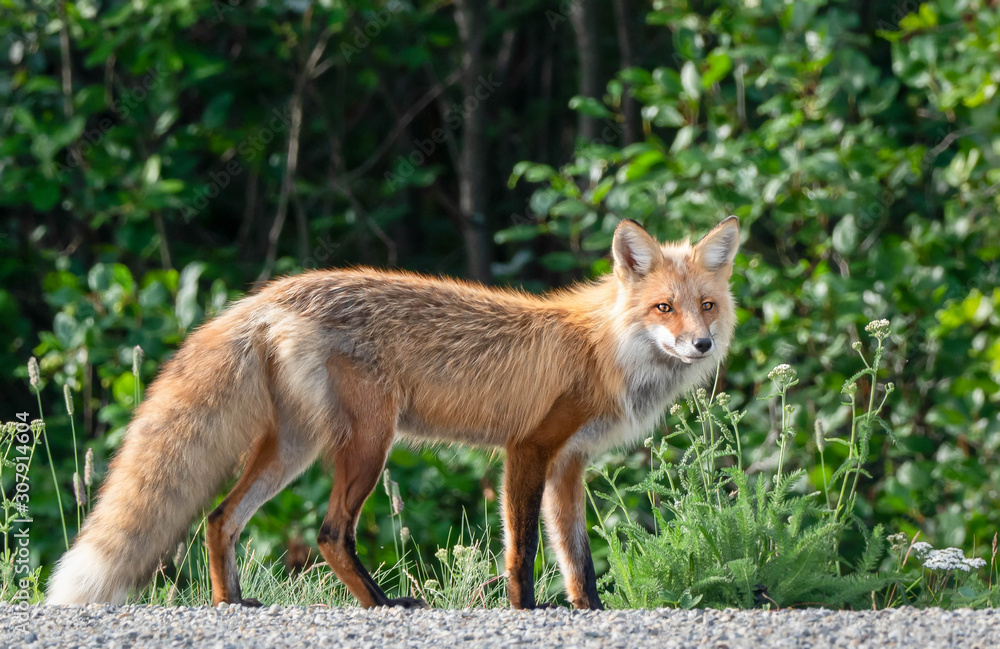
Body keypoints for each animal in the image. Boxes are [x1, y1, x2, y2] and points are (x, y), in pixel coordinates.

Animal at [45, 216, 744, 608]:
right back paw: (383, 606)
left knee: (220, 520)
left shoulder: (568, 466)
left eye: (706, 306)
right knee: (329, 533)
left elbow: (578, 560)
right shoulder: (528, 450)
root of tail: (272, 294)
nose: (701, 346)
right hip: (369, 443)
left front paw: (587, 612)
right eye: (663, 309)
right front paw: (525, 612)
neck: (604, 349)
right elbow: (522, 554)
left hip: (293, 450)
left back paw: (231, 605)